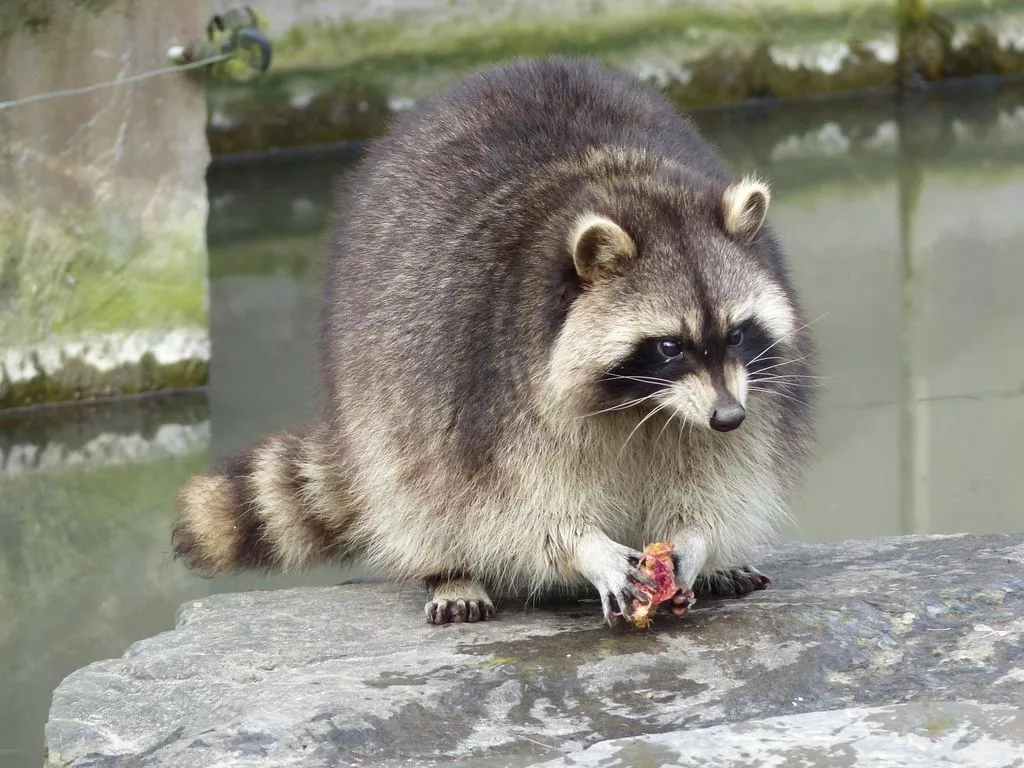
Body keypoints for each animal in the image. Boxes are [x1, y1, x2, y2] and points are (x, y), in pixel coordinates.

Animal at [173, 56, 815, 626]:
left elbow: (724, 475)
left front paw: (697, 539)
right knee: (413, 483)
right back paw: (450, 571)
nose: (727, 417)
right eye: (669, 346)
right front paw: (586, 549)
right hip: (378, 388)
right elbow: (516, 509)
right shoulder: (491, 381)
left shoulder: (749, 396)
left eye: (737, 333)